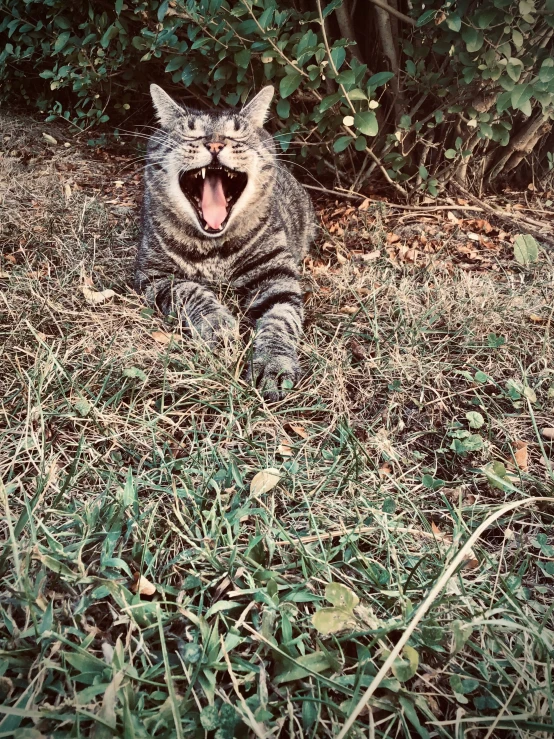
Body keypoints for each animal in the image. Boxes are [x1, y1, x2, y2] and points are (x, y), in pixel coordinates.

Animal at [134, 84, 314, 402]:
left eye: (236, 134)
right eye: (191, 132)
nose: (215, 145)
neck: (214, 247)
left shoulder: (277, 274)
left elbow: (279, 318)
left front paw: (274, 364)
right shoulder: (155, 275)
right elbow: (191, 292)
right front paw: (218, 324)